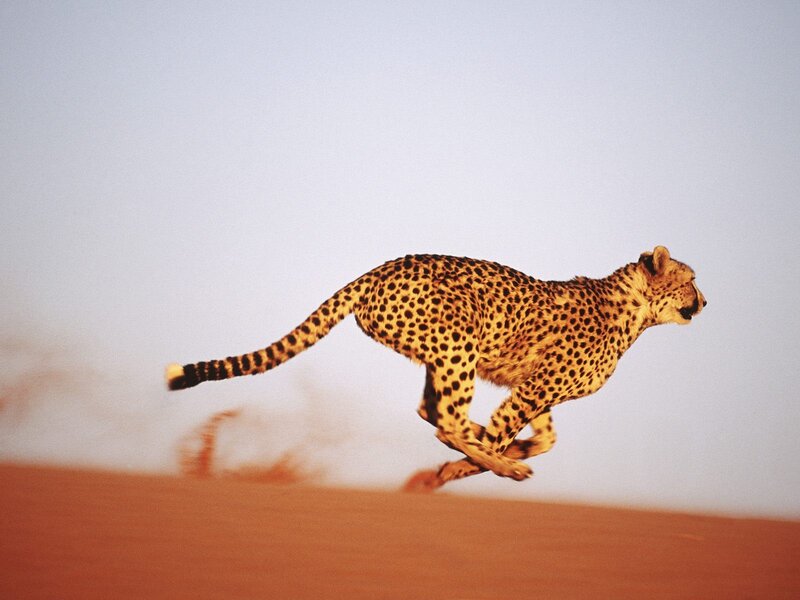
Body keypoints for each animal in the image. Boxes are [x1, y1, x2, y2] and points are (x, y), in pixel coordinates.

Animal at [166, 245, 705, 489]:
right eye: (691, 279)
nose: (705, 300)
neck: (637, 312)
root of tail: (380, 267)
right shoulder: (535, 389)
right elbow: (502, 433)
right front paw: (468, 467)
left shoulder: (534, 388)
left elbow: (545, 438)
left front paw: (511, 450)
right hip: (460, 342)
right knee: (444, 419)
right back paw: (496, 464)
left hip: (441, 353)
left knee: (432, 411)